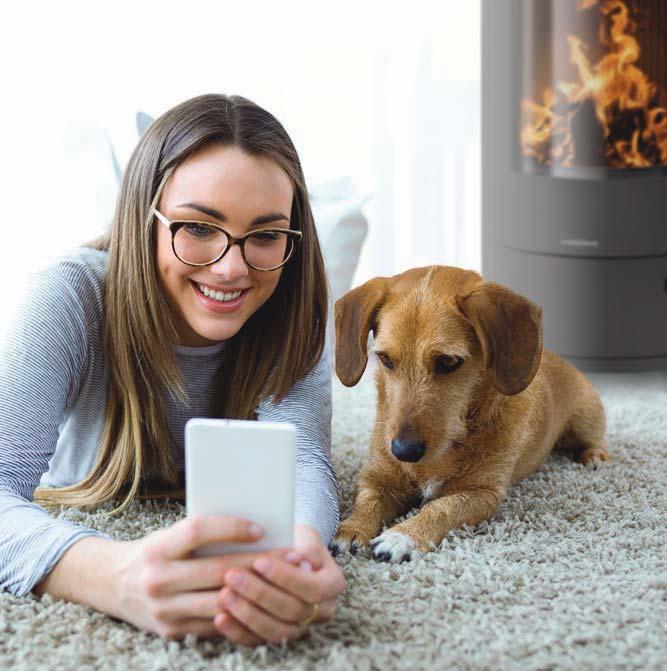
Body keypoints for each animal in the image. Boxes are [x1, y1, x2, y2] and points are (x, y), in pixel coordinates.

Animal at [328, 266, 612, 564]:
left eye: (449, 361)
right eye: (385, 359)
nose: (403, 451)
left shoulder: (483, 494)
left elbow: (441, 507)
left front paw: (404, 535)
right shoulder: (377, 480)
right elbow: (367, 502)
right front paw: (352, 529)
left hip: (585, 419)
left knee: (595, 439)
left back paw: (595, 456)